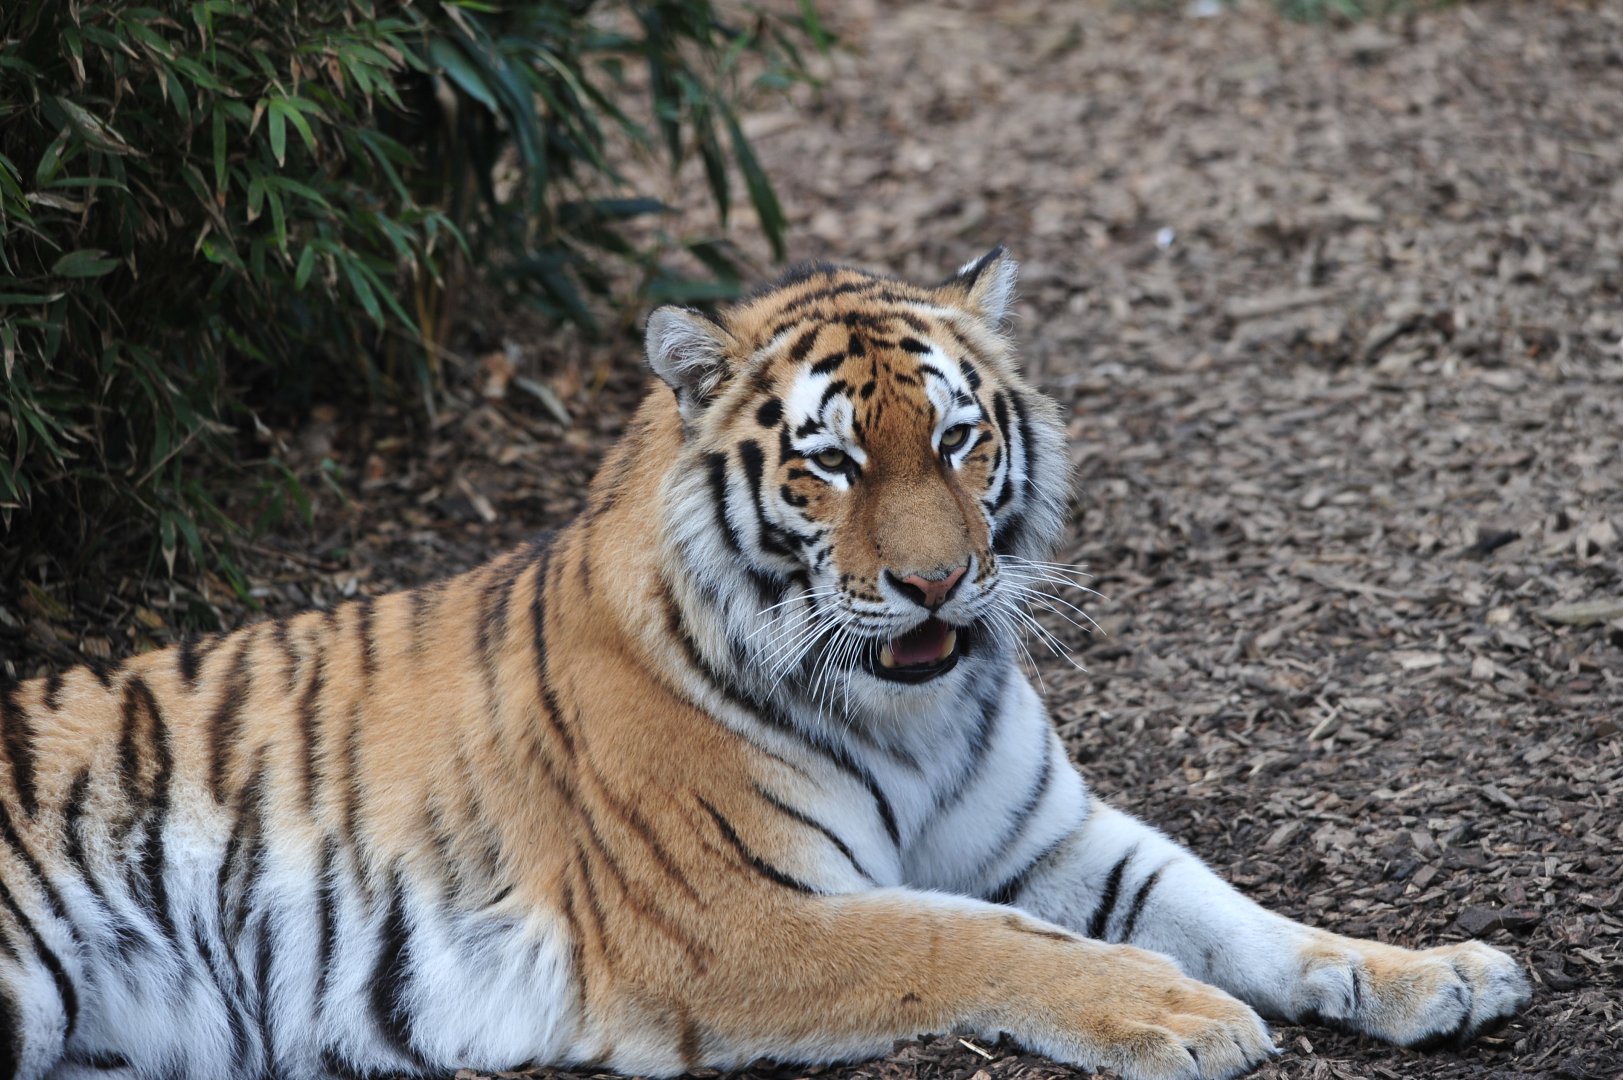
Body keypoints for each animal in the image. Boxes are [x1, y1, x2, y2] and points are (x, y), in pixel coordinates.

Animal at [0, 248, 1530, 1080]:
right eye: (832, 463)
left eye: (958, 439)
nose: (935, 580)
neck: (914, 715)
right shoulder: (734, 917)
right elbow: (972, 940)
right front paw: (1179, 1012)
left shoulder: (1047, 835)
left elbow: (1232, 911)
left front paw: (1432, 975)